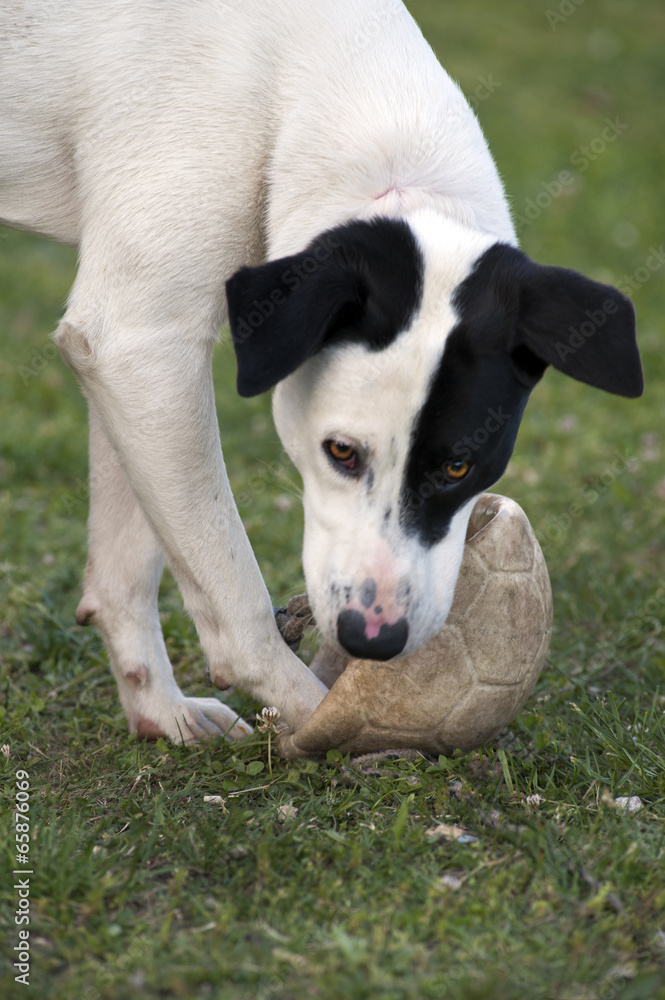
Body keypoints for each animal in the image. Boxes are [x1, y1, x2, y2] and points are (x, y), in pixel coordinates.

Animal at [1, 0, 644, 740]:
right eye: (340, 453)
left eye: (460, 467)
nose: (374, 638)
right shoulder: (137, 342)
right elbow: (232, 588)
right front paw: (321, 721)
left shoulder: (136, 354)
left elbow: (128, 567)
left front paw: (158, 709)